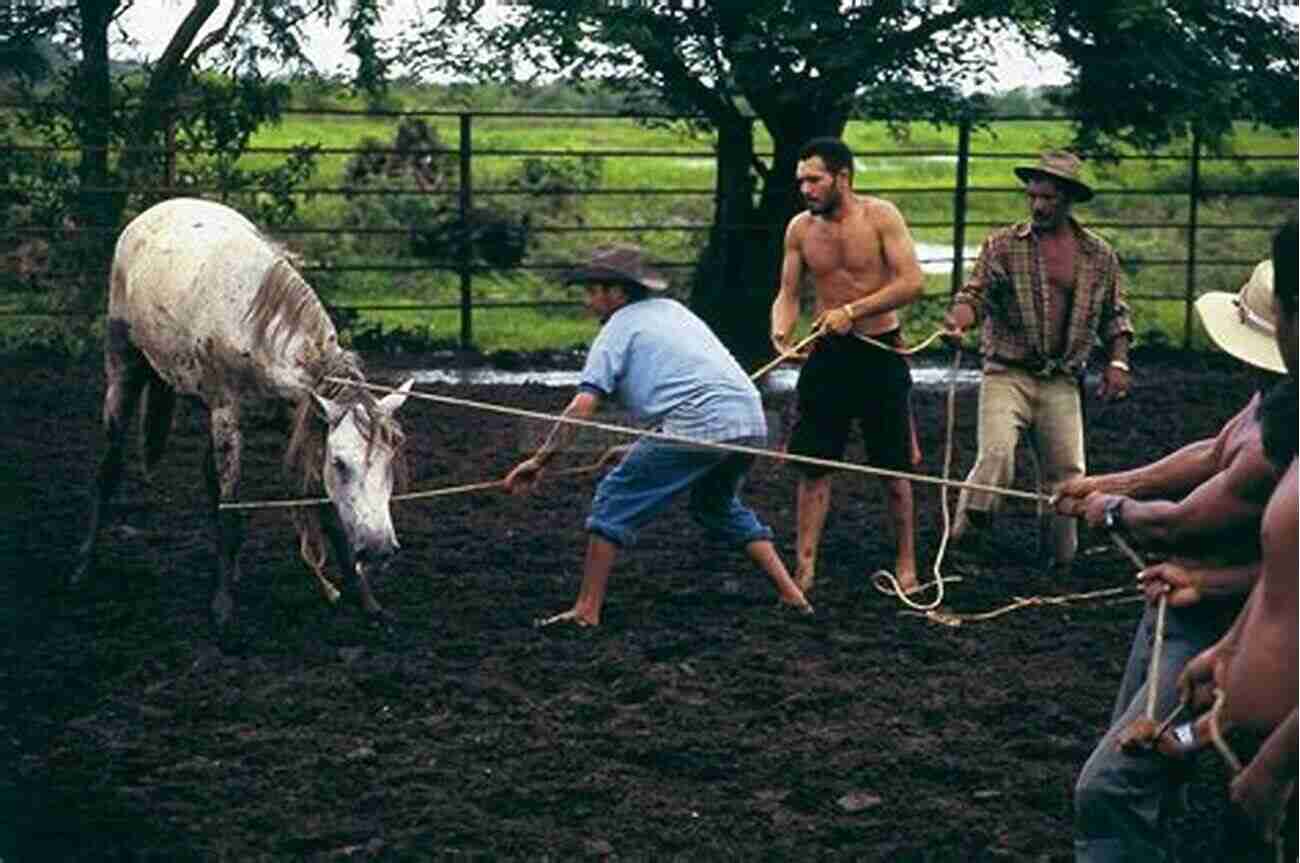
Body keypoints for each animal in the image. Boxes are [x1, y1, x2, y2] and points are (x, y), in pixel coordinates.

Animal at [74, 197, 416, 626]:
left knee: (208, 477)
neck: (257, 329)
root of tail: (152, 213)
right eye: (340, 463)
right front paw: (222, 606)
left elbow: (330, 515)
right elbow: (231, 511)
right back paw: (84, 564)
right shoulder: (228, 416)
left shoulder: (302, 421)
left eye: (390, 462)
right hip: (123, 368)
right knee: (110, 468)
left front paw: (364, 598)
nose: (379, 548)